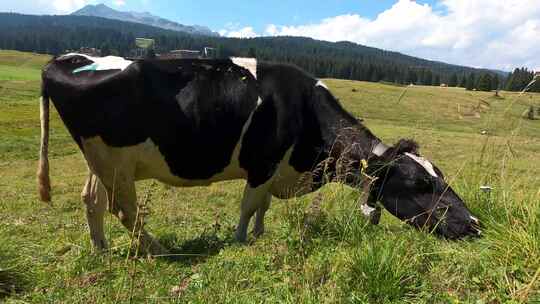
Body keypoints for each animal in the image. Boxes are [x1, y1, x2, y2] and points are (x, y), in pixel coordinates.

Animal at [38, 53, 480, 255]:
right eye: (420, 183)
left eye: (439, 176)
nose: (475, 225)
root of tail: (70, 59)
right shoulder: (263, 163)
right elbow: (249, 205)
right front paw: (239, 240)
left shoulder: (274, 169)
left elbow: (263, 206)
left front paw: (260, 234)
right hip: (114, 160)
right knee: (123, 208)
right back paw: (158, 250)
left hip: (103, 161)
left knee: (93, 200)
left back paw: (101, 249)